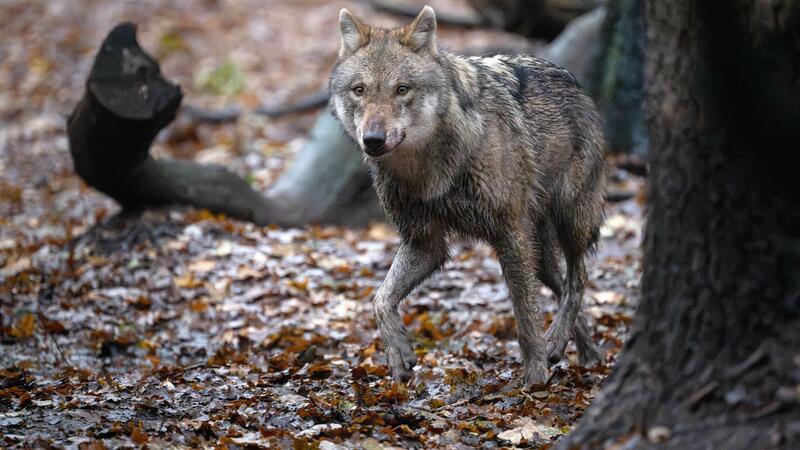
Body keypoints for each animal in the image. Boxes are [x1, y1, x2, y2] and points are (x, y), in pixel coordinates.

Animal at [328, 4, 604, 386]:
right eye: (359, 90)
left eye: (402, 89)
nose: (373, 140)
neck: (427, 169)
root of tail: (574, 82)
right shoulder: (424, 243)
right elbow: (380, 299)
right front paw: (398, 354)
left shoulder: (510, 236)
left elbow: (525, 318)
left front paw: (534, 377)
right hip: (541, 254)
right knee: (563, 286)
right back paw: (581, 351)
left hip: (570, 221)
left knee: (579, 279)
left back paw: (559, 344)